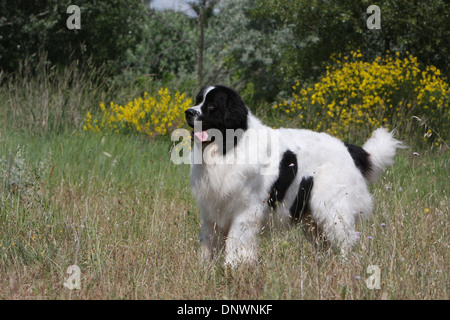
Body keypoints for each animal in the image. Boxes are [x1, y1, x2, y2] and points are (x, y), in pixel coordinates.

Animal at [185, 85, 402, 268]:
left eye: (212, 105)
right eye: (198, 100)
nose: (188, 112)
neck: (228, 146)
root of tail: (349, 148)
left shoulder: (245, 212)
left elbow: (237, 243)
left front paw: (233, 267)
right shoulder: (212, 212)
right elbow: (208, 243)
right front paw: (205, 269)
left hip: (332, 208)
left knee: (345, 242)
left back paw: (344, 268)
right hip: (312, 219)